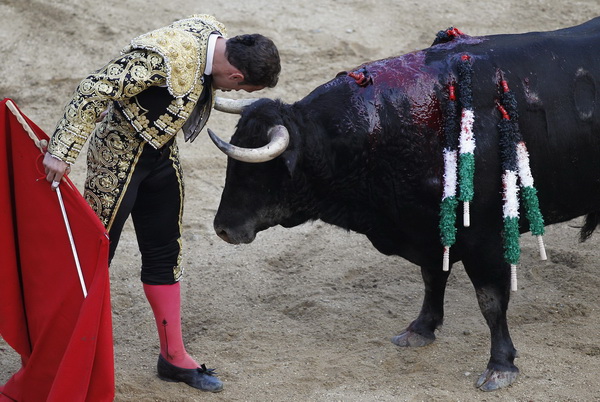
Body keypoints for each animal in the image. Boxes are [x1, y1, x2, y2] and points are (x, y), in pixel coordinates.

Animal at [209, 17, 600, 392]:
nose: (223, 228)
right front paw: (421, 329)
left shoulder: (486, 239)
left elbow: (490, 300)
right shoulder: (428, 229)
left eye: (262, 171)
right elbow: (432, 278)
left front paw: (500, 365)